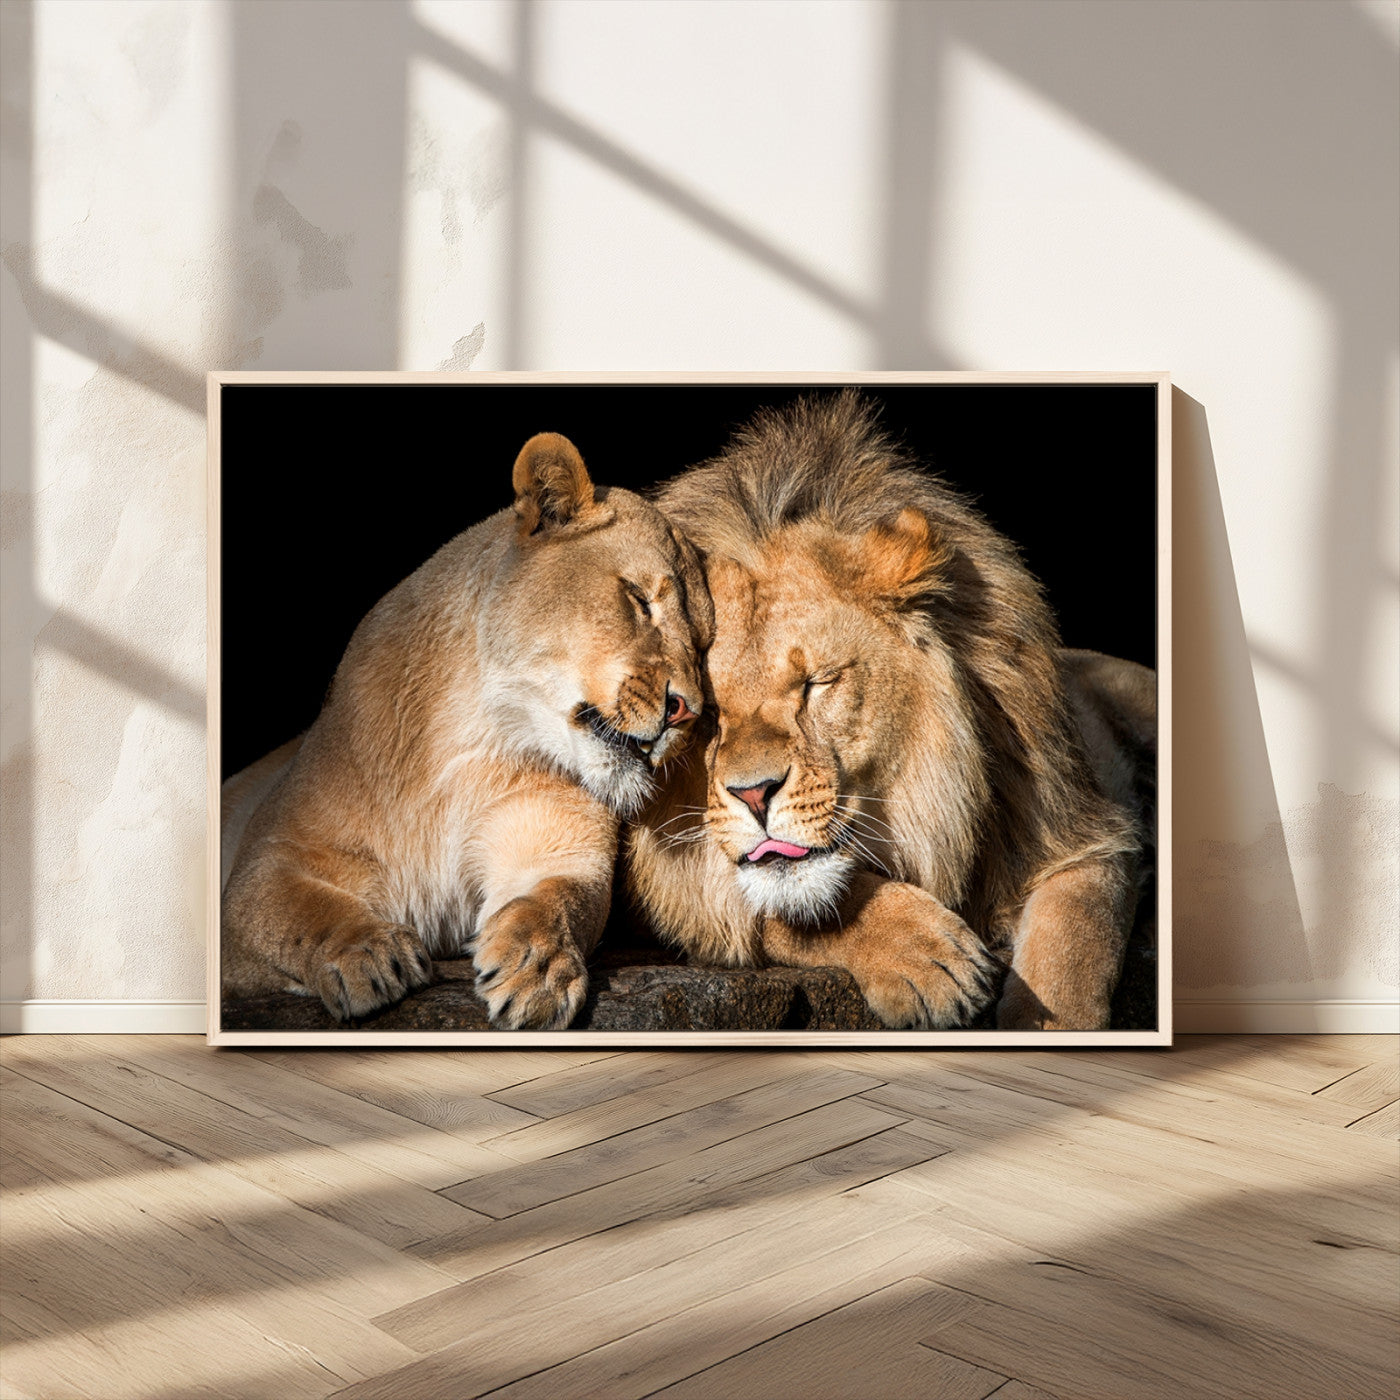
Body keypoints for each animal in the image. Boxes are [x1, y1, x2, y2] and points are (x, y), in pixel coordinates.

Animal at [221, 432, 712, 1029]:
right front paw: (366, 954)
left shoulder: (559, 846)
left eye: (704, 645)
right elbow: (299, 910)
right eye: (640, 600)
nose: (687, 712)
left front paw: (537, 968)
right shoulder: (266, 862)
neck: (474, 739)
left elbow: (557, 900)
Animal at [625, 392, 1152, 1031]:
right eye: (704, 714)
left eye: (817, 683)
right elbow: (789, 905)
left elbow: (1071, 951)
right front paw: (928, 958)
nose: (753, 794)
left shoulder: (1083, 831)